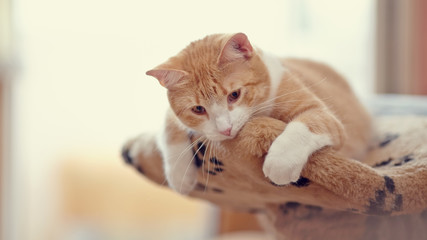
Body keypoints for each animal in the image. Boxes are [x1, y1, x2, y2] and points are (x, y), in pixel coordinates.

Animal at [144, 32, 372, 194]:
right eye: (198, 109)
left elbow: (305, 125)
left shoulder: (323, 115)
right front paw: (179, 174)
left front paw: (281, 161)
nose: (225, 130)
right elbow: (170, 126)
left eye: (234, 95)